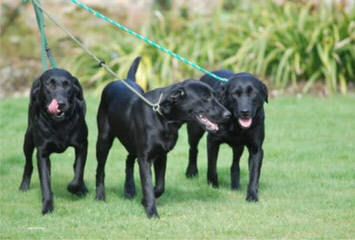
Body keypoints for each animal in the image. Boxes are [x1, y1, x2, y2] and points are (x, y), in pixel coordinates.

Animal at [19, 68, 89, 215]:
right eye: (49, 85)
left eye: (67, 85)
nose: (61, 104)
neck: (58, 124)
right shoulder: (42, 153)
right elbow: (45, 182)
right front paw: (47, 206)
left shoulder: (82, 145)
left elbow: (79, 172)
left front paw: (74, 188)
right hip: (28, 140)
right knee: (28, 164)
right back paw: (24, 186)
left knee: (76, 167)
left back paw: (82, 189)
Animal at [96, 57, 232, 218]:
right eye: (206, 98)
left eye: (215, 96)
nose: (228, 115)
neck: (163, 118)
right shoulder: (145, 158)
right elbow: (148, 184)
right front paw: (152, 212)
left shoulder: (161, 155)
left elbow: (160, 186)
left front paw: (144, 200)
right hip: (104, 139)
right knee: (100, 169)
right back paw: (100, 196)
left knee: (128, 160)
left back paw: (129, 190)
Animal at [185, 70, 268, 202]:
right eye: (234, 94)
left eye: (253, 93)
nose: (245, 112)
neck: (236, 124)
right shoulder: (212, 141)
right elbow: (212, 166)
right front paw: (213, 185)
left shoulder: (256, 148)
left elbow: (254, 174)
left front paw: (252, 195)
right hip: (195, 130)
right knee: (193, 149)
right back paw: (191, 172)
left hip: (238, 147)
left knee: (235, 164)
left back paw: (235, 185)